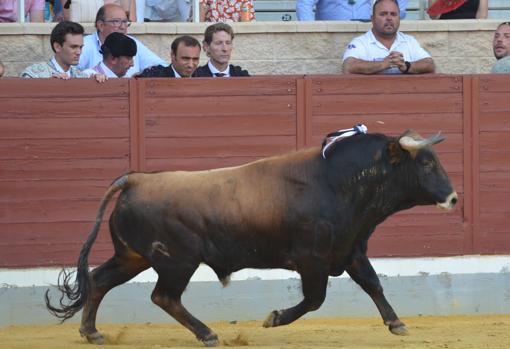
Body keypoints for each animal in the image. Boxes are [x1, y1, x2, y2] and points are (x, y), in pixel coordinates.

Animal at [44, 130, 458, 346]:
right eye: (425, 163)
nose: (454, 198)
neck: (337, 183)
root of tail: (136, 179)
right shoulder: (312, 259)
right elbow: (315, 299)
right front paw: (273, 318)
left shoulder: (350, 249)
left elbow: (373, 284)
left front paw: (396, 323)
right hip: (178, 260)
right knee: (163, 296)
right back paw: (208, 334)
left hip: (133, 256)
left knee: (99, 280)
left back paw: (92, 332)